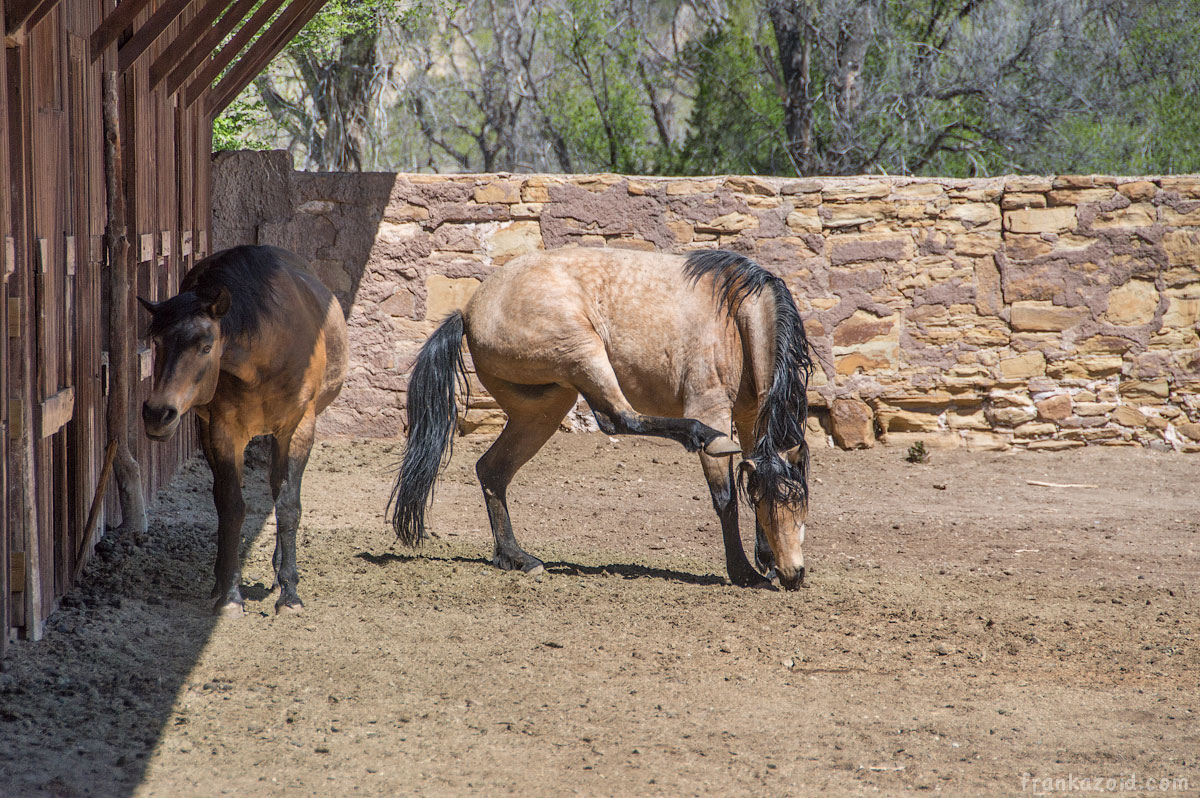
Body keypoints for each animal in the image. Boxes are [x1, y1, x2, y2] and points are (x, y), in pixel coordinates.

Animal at [141, 246, 348, 612]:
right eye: (157, 342)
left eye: (206, 345)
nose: (157, 413)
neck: (267, 351)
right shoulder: (224, 431)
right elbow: (231, 507)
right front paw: (229, 593)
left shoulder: (298, 429)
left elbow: (288, 505)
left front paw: (289, 592)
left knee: (279, 488)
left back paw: (279, 572)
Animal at [393, 246, 816, 588]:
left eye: (800, 501)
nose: (794, 574)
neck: (736, 313)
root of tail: (468, 310)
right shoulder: (710, 407)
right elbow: (726, 498)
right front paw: (744, 572)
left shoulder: (749, 416)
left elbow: (751, 471)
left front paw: (764, 562)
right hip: (585, 353)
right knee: (617, 418)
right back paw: (700, 437)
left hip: (544, 409)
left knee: (493, 470)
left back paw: (517, 558)